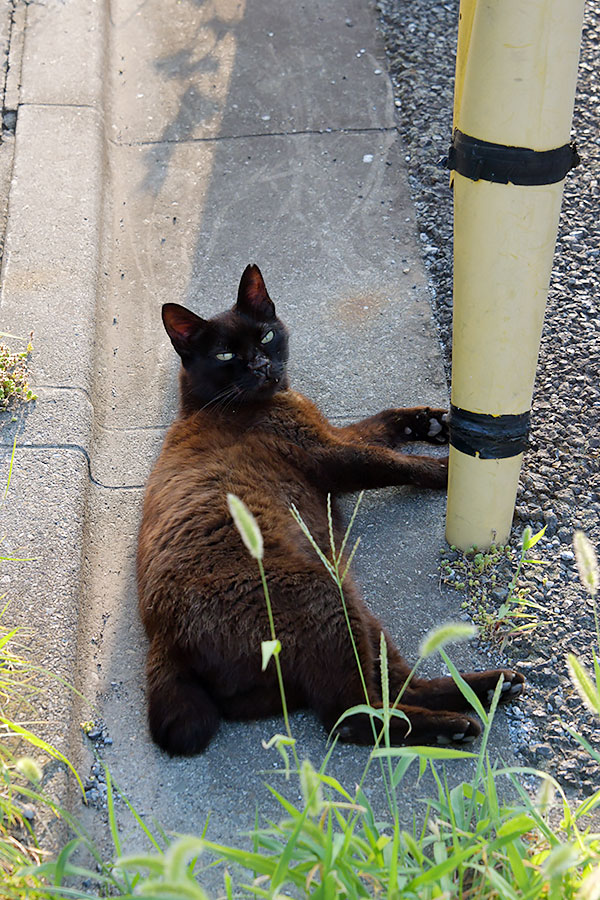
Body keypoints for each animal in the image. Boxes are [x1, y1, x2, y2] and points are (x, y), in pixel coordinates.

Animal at [138, 264, 524, 756]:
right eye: (225, 355)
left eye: (265, 337)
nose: (261, 366)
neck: (209, 407)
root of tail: (164, 640)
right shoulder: (328, 455)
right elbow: (393, 462)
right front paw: (447, 470)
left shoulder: (329, 436)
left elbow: (380, 424)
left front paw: (433, 423)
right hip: (326, 596)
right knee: (352, 717)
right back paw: (452, 727)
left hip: (357, 609)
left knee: (397, 684)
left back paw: (491, 687)